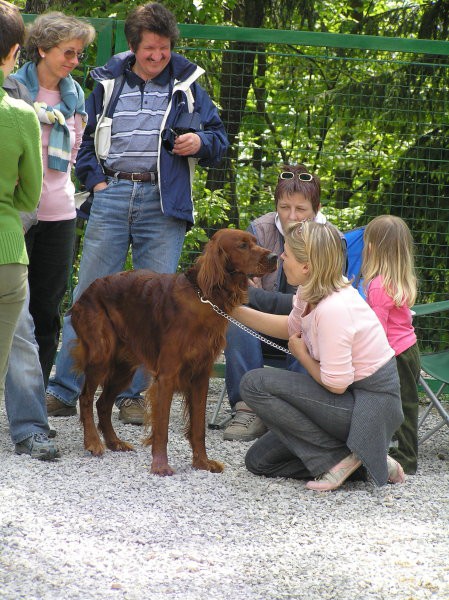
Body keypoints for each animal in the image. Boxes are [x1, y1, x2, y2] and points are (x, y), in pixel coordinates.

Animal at [70, 229, 276, 474]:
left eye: (255, 242)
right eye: (242, 245)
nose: (275, 257)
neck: (202, 297)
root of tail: (86, 292)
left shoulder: (200, 376)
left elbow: (199, 428)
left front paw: (202, 463)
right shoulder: (166, 376)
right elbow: (162, 427)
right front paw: (160, 465)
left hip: (123, 368)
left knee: (102, 403)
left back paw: (114, 442)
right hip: (101, 355)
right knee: (85, 397)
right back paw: (93, 442)